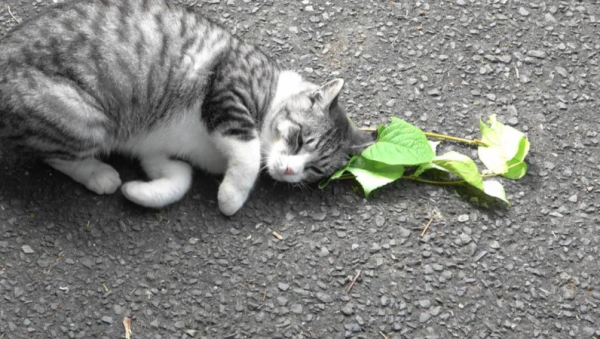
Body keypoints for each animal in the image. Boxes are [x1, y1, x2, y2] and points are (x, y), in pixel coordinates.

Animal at [0, 0, 376, 216]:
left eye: (313, 169)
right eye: (299, 139)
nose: (288, 170)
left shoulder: (154, 151)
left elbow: (179, 178)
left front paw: (139, 192)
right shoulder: (228, 91)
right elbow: (247, 154)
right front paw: (231, 198)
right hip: (82, 117)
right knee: (51, 153)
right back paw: (98, 173)